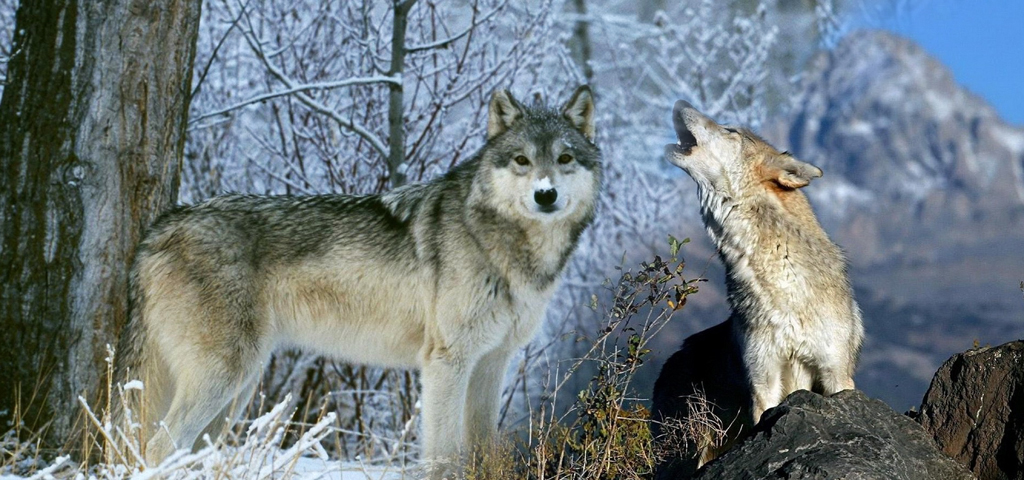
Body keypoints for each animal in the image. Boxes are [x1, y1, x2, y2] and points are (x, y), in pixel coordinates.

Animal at [114, 86, 601, 471]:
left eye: (564, 158)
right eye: (521, 160)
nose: (545, 194)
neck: (504, 246)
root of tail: (161, 226)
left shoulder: (491, 364)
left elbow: (482, 454)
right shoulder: (447, 363)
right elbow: (444, 458)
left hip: (236, 391)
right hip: (225, 378)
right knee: (157, 447)